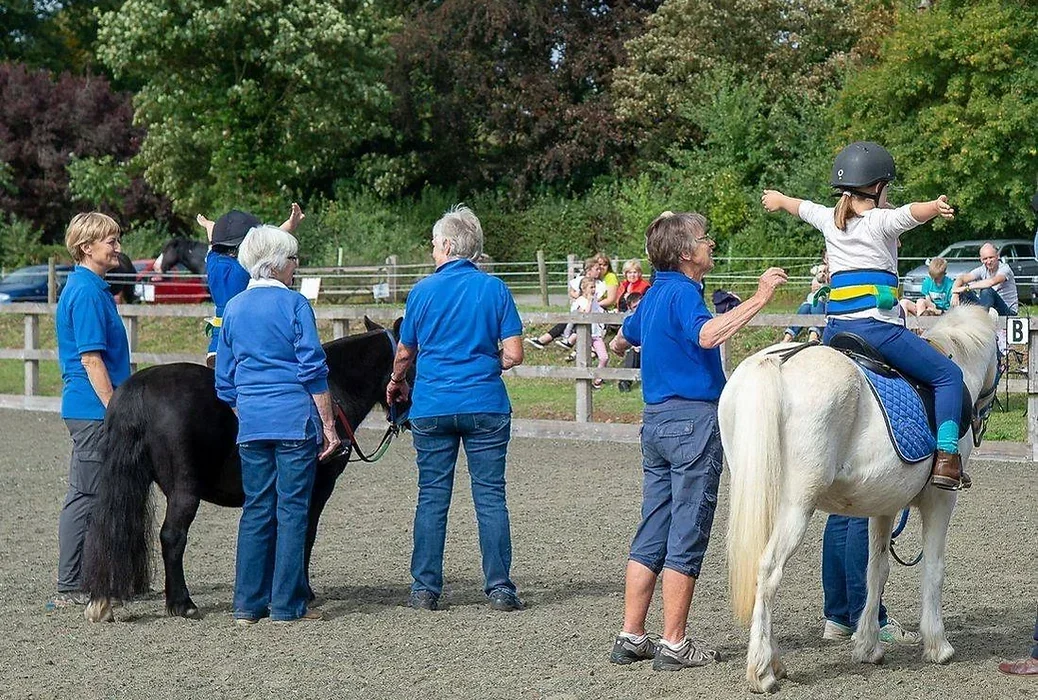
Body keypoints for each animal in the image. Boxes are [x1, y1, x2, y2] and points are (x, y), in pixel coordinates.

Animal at [82, 319, 404, 618]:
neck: (332, 391)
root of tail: (141, 387)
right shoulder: (316, 490)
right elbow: (305, 535)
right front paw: (303, 593)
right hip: (184, 491)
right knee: (172, 536)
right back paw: (182, 603)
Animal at [722, 307, 996, 693]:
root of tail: (775, 362)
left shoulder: (884, 506)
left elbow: (875, 571)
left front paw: (868, 646)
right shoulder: (940, 500)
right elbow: (934, 568)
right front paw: (938, 644)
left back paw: (775, 660)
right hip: (795, 507)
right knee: (769, 571)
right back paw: (762, 671)